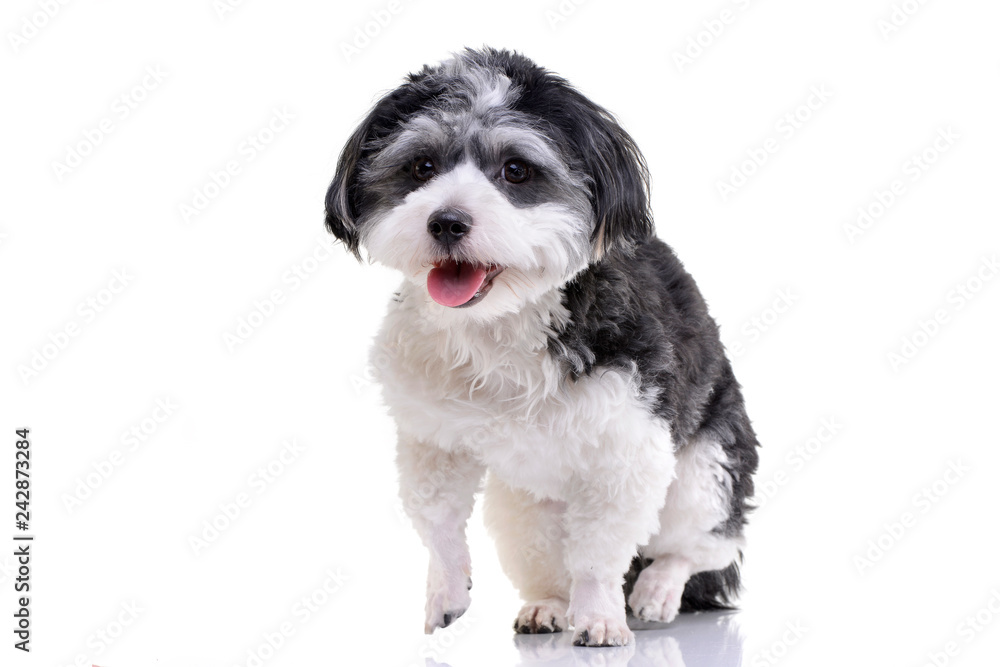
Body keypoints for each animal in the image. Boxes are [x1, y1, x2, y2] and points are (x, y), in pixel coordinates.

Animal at [326, 47, 756, 648]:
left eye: (516, 170)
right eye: (421, 167)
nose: (446, 221)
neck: (500, 323)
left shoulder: (627, 449)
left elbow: (599, 554)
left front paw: (600, 617)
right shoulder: (431, 436)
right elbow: (437, 521)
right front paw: (446, 590)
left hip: (707, 470)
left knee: (701, 545)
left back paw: (656, 591)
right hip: (522, 507)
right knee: (549, 562)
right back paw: (549, 606)